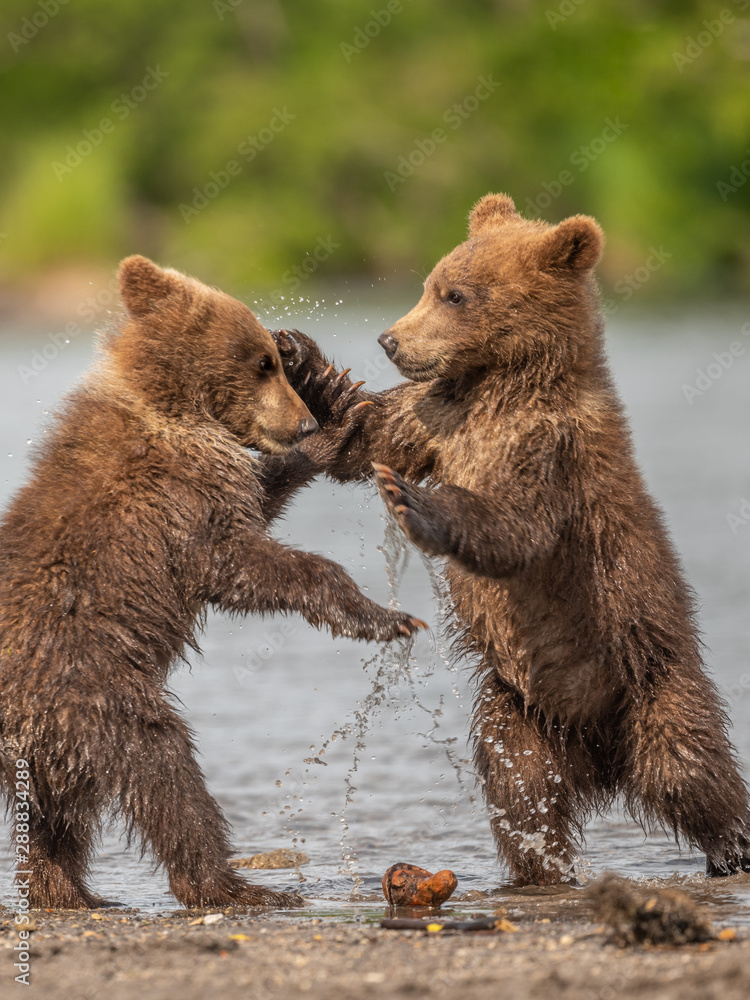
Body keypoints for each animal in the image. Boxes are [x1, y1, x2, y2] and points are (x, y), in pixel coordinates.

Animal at [0, 255, 425, 910]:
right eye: (262, 362)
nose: (303, 422)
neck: (178, 412)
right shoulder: (174, 506)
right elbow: (239, 565)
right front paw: (384, 616)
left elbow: (261, 497)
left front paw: (334, 422)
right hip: (90, 689)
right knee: (163, 767)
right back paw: (234, 886)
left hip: (51, 740)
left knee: (54, 816)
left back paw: (73, 893)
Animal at [273, 193, 750, 885]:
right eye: (430, 283)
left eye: (455, 295)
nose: (390, 339)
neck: (500, 382)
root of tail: (604, 761)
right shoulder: (439, 416)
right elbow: (369, 431)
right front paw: (301, 361)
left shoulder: (549, 449)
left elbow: (514, 526)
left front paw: (411, 499)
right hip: (519, 713)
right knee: (521, 790)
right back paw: (538, 866)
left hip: (652, 677)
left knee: (691, 772)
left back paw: (731, 847)